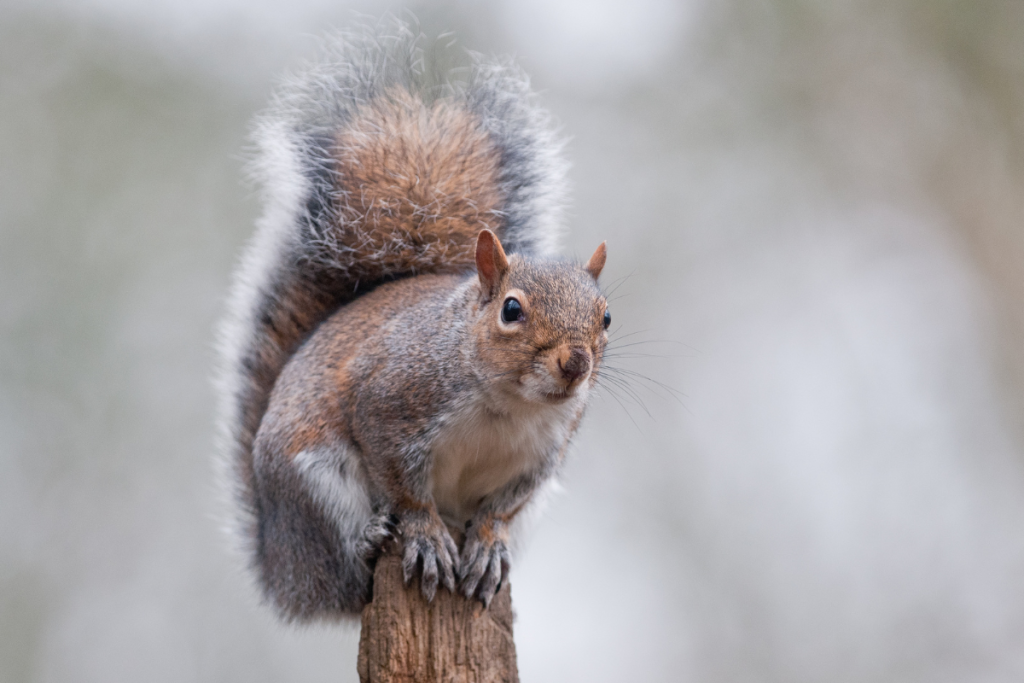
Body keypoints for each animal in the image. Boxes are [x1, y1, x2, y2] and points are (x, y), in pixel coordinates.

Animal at [217, 23, 610, 622]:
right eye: (511, 310)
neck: (507, 404)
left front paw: (488, 544)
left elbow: (500, 511)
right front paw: (424, 533)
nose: (576, 363)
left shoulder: (539, 460)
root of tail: (282, 571)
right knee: (344, 576)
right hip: (313, 481)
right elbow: (405, 489)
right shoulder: (389, 402)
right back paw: (368, 542)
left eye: (606, 316)